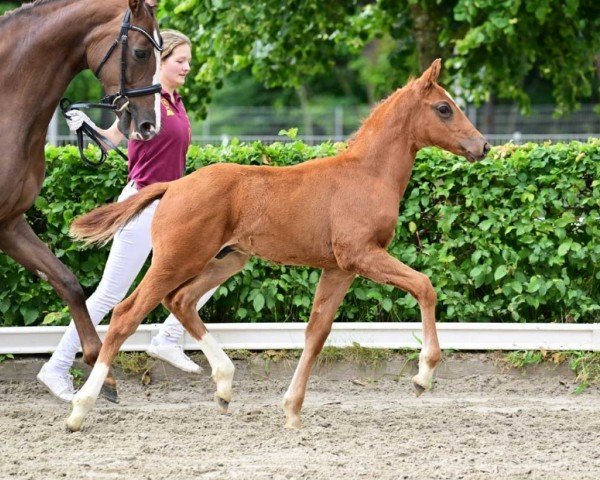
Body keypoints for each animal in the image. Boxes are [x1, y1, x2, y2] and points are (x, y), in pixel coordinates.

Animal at [65, 60, 490, 432]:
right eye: (444, 108)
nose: (483, 146)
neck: (366, 174)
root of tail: (172, 186)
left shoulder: (339, 268)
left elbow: (316, 332)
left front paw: (292, 411)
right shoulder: (362, 255)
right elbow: (424, 286)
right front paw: (423, 375)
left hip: (227, 260)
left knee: (181, 300)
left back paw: (224, 385)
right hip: (176, 260)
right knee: (126, 314)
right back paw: (80, 409)